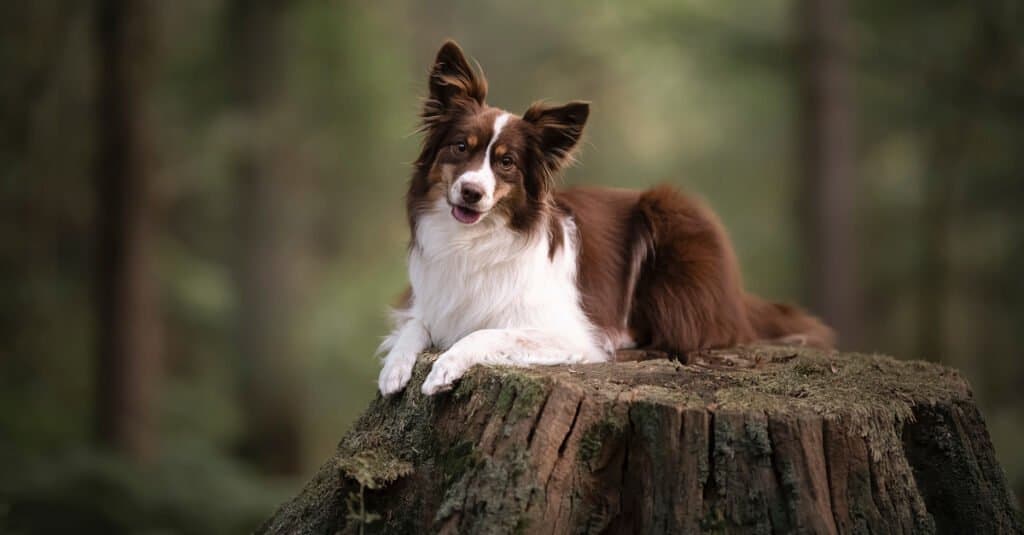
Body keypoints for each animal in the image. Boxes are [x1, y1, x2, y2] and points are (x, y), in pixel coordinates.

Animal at [376, 40, 831, 395]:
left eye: (506, 163)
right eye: (460, 146)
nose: (471, 192)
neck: (474, 240)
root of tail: (738, 295)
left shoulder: (566, 331)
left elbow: (484, 332)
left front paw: (445, 366)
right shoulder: (429, 302)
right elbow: (414, 326)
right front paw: (394, 368)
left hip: (671, 218)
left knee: (688, 333)